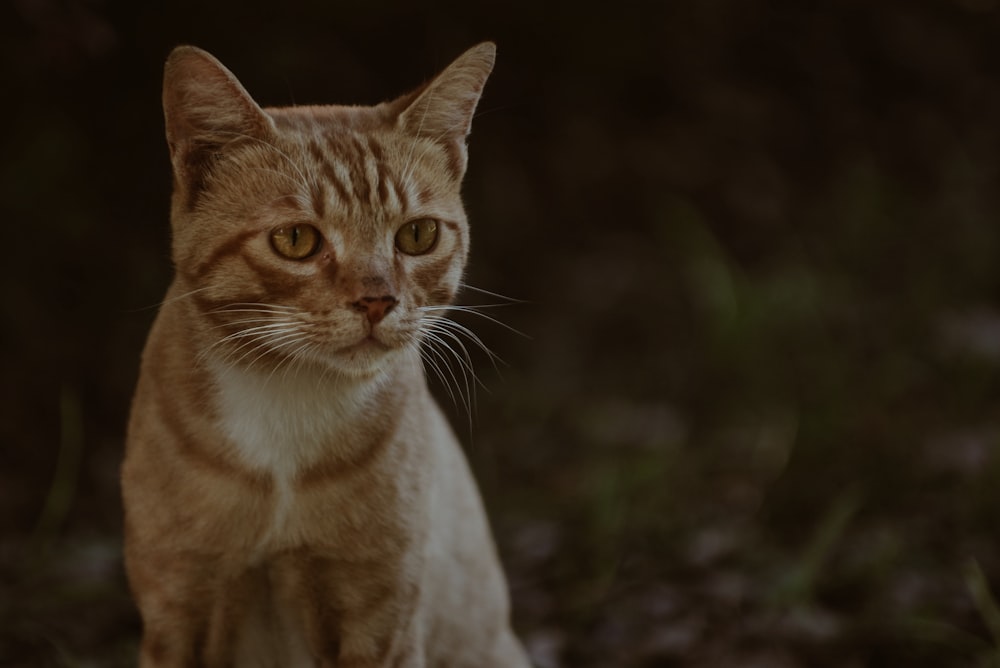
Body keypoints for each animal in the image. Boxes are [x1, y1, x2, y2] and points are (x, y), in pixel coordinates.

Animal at [120, 43, 532, 668]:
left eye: (417, 236)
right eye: (296, 240)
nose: (377, 299)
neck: (285, 405)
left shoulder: (378, 619)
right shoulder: (179, 608)